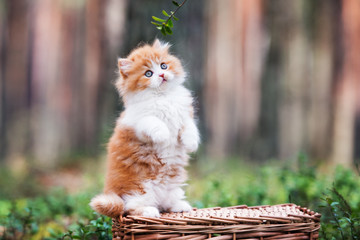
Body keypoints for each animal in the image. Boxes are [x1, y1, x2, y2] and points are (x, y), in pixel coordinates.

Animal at [90, 39, 201, 218]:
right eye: (148, 74)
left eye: (163, 66)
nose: (162, 75)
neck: (163, 98)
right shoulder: (136, 123)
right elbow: (153, 121)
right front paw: (164, 135)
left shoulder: (185, 115)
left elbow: (190, 127)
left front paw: (190, 143)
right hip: (140, 188)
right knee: (130, 208)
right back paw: (150, 211)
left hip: (173, 188)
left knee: (165, 204)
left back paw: (180, 206)